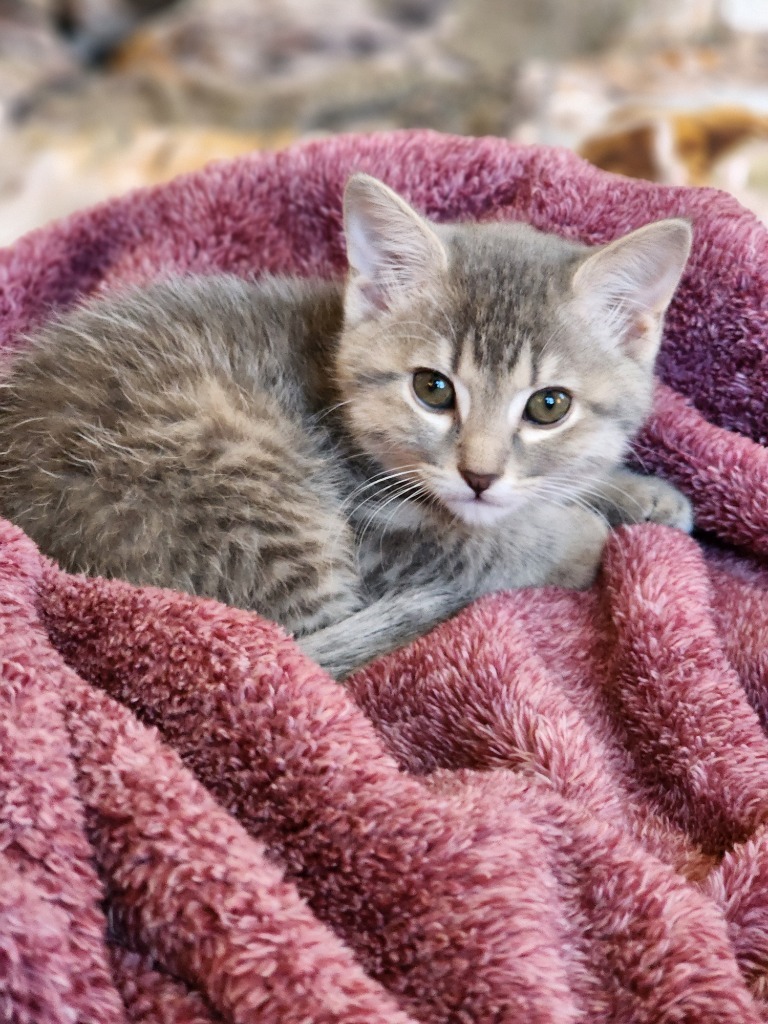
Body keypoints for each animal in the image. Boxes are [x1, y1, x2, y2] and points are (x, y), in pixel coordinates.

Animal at [0, 176, 696, 679]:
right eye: (432, 389)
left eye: (549, 405)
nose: (479, 474)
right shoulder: (377, 536)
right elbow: (485, 546)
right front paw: (581, 535)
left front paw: (636, 491)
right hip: (240, 473)